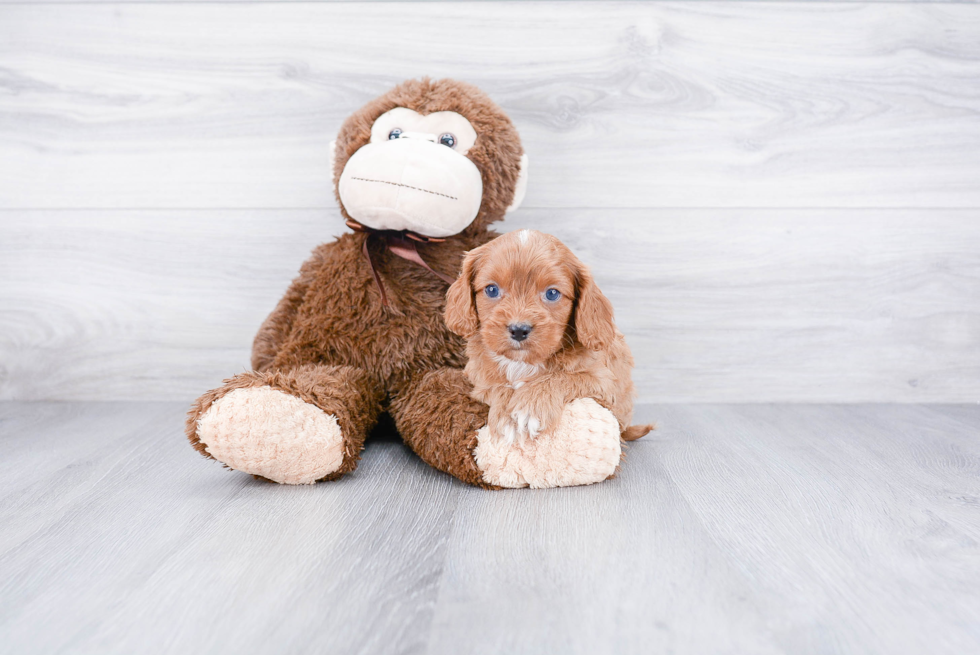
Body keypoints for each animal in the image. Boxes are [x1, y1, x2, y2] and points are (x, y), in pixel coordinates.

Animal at [444, 229, 652, 446]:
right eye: (491, 289)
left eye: (552, 293)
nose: (519, 330)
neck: (522, 363)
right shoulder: (477, 376)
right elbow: (495, 385)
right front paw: (507, 415)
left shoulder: (604, 383)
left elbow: (563, 377)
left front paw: (529, 407)